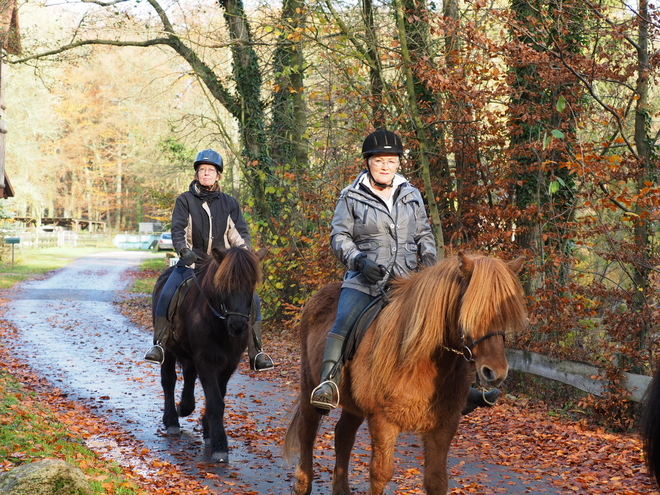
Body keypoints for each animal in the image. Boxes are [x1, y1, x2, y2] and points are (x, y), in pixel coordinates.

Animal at [154, 248, 266, 464]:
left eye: (251, 283)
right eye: (223, 284)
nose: (238, 326)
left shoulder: (229, 363)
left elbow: (218, 396)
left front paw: (208, 432)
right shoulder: (206, 361)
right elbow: (215, 401)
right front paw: (220, 445)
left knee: (189, 376)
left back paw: (184, 407)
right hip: (169, 350)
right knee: (169, 380)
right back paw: (172, 420)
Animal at [282, 254, 524, 495]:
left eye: (506, 313)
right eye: (472, 312)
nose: (495, 372)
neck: (419, 363)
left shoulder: (444, 425)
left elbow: (436, 480)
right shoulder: (383, 421)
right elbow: (380, 474)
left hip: (354, 405)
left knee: (343, 436)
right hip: (309, 386)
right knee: (307, 431)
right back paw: (302, 484)